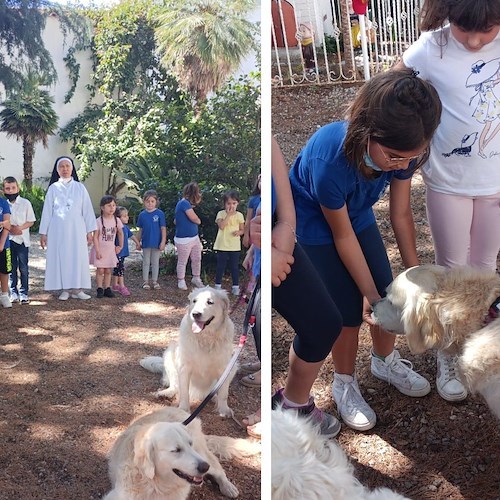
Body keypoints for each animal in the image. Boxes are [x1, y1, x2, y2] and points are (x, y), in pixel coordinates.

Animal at [101, 406, 258, 500]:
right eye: (176, 450)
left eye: (190, 444)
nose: (204, 467)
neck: (156, 484)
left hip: (204, 454)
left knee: (218, 469)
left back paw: (228, 487)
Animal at [139, 288, 236, 416]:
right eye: (194, 301)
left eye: (210, 302)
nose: (195, 314)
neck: (205, 337)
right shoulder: (184, 366)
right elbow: (184, 392)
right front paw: (183, 409)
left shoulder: (224, 367)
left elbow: (224, 393)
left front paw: (224, 410)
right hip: (170, 354)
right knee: (175, 386)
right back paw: (165, 393)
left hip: (234, 365)